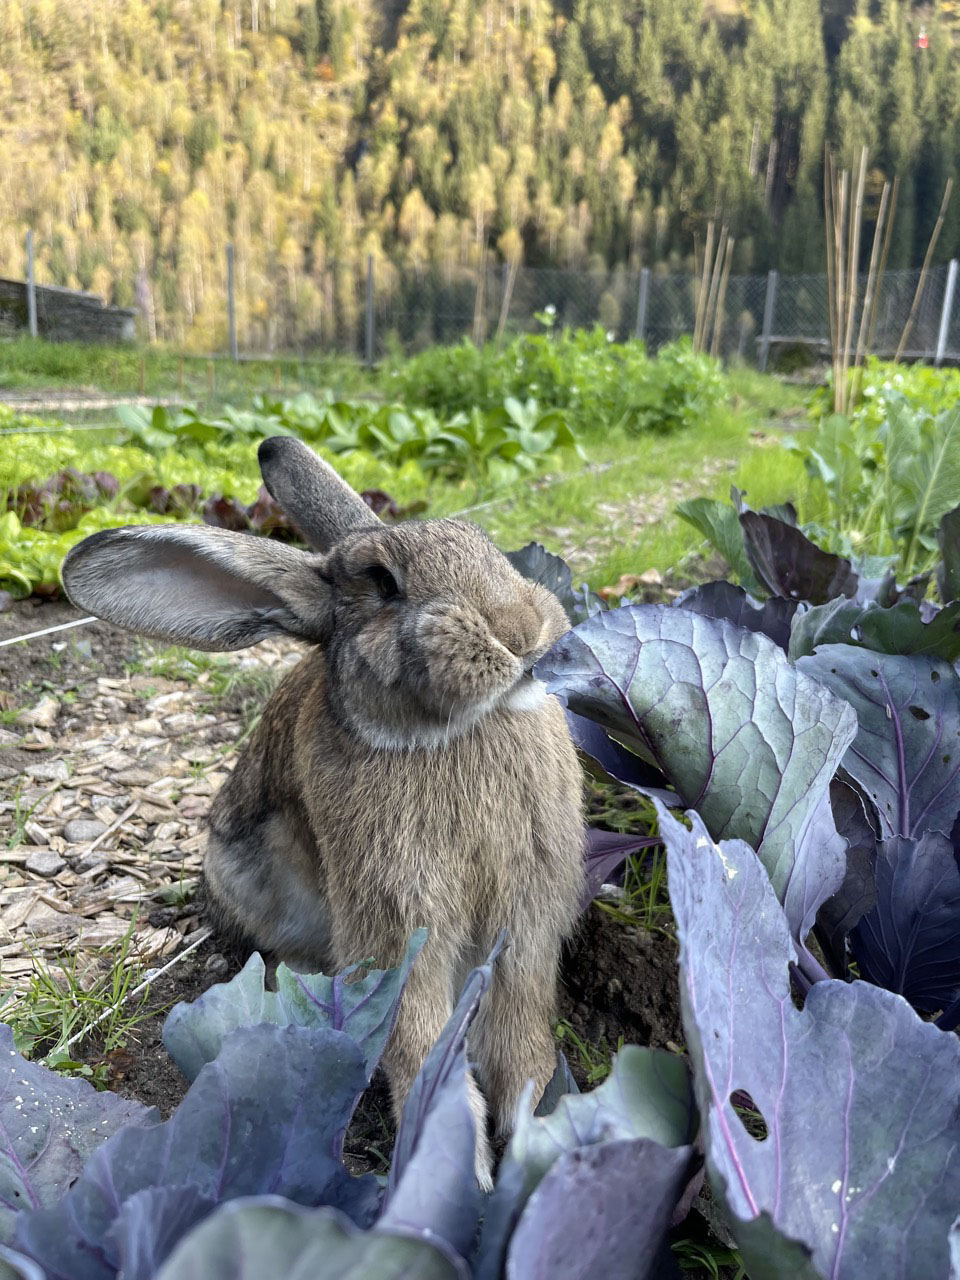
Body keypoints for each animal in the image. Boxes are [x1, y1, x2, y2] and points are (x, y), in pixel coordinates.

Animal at [61, 436, 585, 1186]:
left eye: (483, 542)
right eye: (383, 584)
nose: (521, 633)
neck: (454, 730)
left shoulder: (528, 924)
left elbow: (522, 1035)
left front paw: (538, 1135)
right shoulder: (399, 928)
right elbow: (422, 1043)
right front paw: (464, 1172)